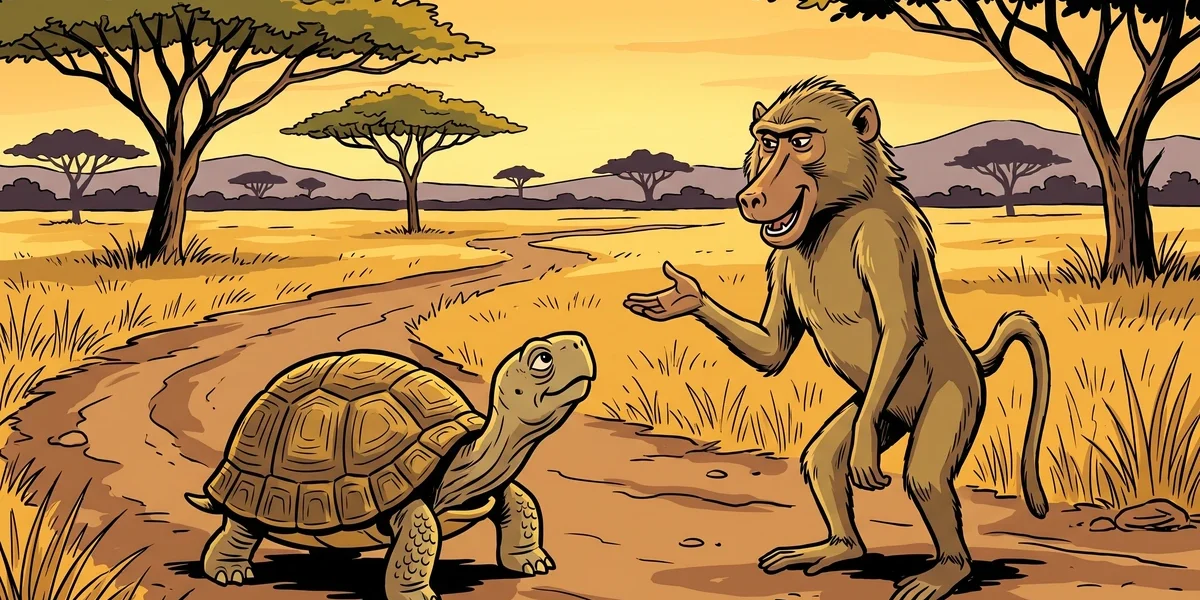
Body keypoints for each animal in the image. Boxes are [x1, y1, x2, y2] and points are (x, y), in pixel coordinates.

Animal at [623, 76, 1051, 600]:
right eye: (768, 142)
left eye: (802, 140)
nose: (751, 198)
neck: (833, 216)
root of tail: (971, 355)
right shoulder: (782, 258)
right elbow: (772, 349)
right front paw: (683, 297)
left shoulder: (881, 237)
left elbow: (900, 329)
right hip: (880, 409)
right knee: (823, 460)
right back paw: (836, 549)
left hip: (945, 395)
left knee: (925, 477)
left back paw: (946, 571)